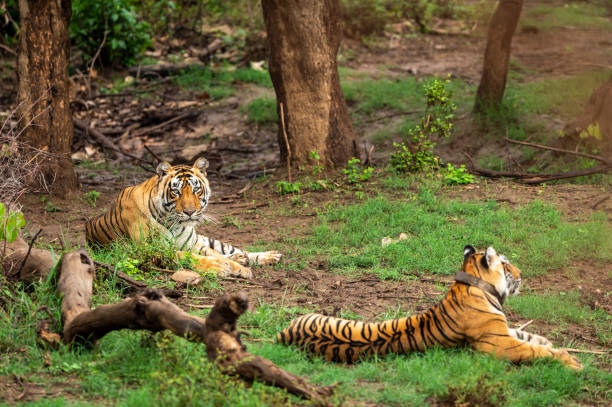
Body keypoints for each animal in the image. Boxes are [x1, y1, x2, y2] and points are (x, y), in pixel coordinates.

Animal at [85, 158, 284, 278]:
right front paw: (220, 267)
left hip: (206, 240)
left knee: (231, 250)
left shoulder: (193, 244)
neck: (174, 223)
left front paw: (240, 268)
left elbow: (216, 255)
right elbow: (193, 258)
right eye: (176, 191)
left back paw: (268, 256)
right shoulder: (151, 250)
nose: (190, 212)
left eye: (196, 190)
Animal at [278, 247, 584, 372]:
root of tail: (284, 334)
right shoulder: (498, 344)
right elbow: (533, 350)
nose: (522, 274)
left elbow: (528, 336)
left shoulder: (503, 330)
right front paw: (571, 361)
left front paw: (551, 343)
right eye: (507, 264)